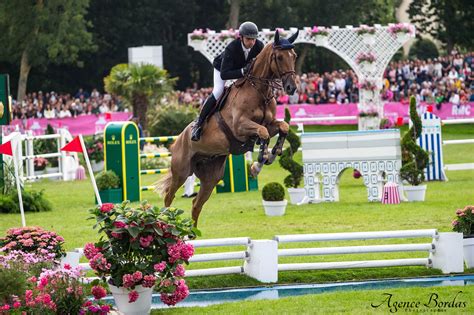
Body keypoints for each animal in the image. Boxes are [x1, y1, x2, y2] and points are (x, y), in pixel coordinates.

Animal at [157, 30, 298, 227]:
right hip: (181, 171)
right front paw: (257, 164)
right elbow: (262, 134)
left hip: (211, 176)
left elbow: (282, 127)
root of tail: (178, 140)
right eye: (279, 57)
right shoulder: (240, 127)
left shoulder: (270, 125)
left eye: (294, 56)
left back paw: (193, 232)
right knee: (169, 197)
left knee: (196, 204)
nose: (292, 88)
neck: (258, 91)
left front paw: (272, 154)